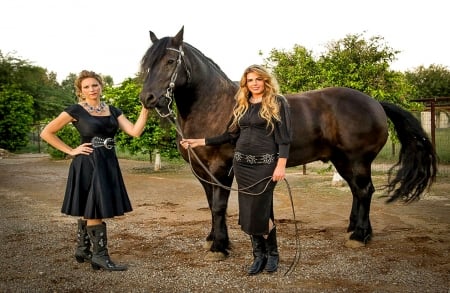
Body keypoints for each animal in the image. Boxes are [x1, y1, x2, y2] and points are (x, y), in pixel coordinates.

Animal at [140, 27, 436, 258]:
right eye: (147, 63)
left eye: (170, 61)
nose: (148, 98)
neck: (214, 107)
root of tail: (375, 102)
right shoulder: (201, 170)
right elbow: (211, 204)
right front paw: (213, 239)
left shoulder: (221, 168)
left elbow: (219, 205)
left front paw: (220, 247)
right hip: (343, 161)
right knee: (356, 190)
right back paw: (354, 229)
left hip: (358, 160)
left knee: (364, 191)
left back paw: (359, 236)